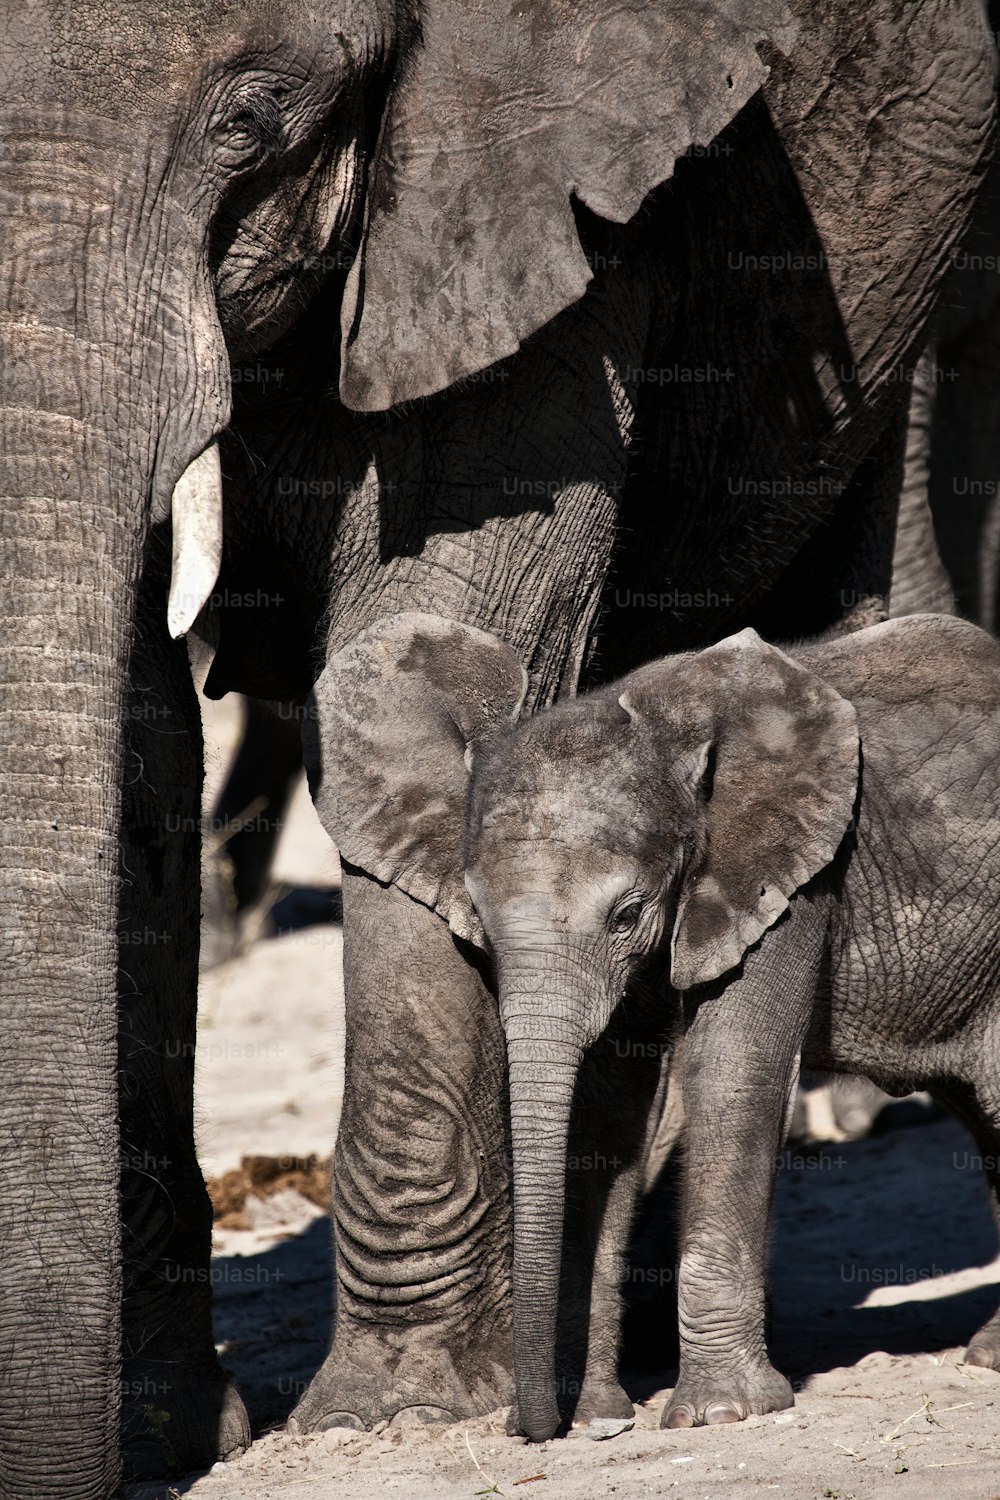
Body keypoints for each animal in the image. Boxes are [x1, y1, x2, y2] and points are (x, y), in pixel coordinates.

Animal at [313, 606, 1000, 1440]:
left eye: (627, 914)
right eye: (479, 918)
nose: (527, 1426)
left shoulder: (794, 874)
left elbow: (734, 1074)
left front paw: (719, 1412)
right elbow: (610, 1114)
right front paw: (599, 1415)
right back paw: (991, 1354)